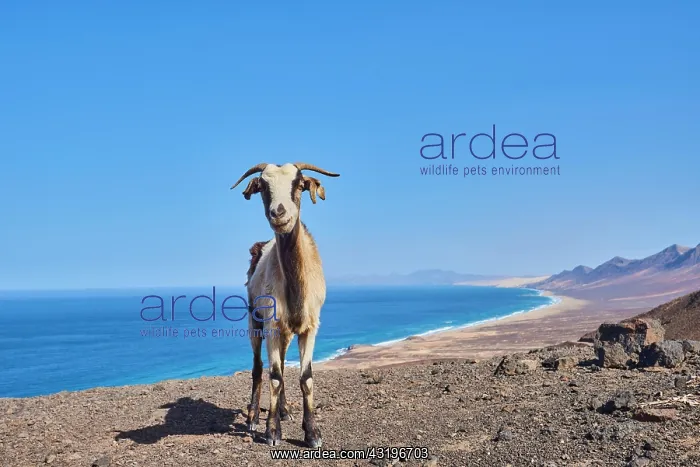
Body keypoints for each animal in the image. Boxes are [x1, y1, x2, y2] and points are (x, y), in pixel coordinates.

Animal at [231, 162, 339, 447]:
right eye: (262, 186)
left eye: (299, 184)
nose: (278, 213)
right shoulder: (271, 324)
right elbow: (275, 376)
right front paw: (272, 431)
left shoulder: (310, 326)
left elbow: (306, 378)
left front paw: (312, 432)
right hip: (255, 320)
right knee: (259, 368)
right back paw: (253, 417)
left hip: (287, 332)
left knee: (278, 361)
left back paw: (284, 410)